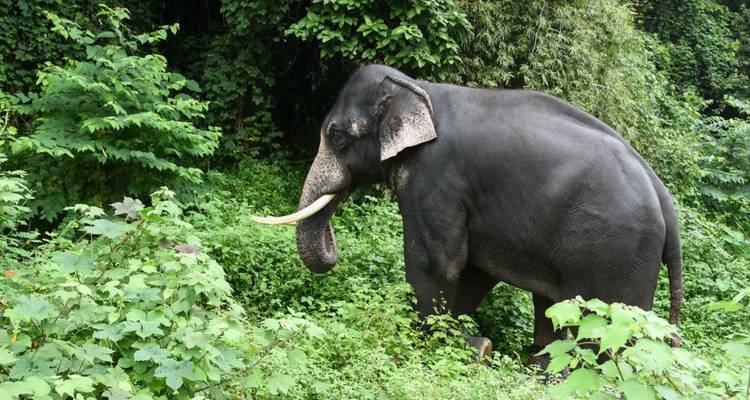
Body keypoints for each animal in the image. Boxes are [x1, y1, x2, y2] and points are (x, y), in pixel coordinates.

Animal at [253, 64, 683, 365]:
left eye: (337, 134)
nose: (334, 248)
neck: (418, 88)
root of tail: (665, 200)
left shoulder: (435, 177)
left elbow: (435, 262)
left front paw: (448, 344)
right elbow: (473, 269)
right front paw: (473, 345)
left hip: (614, 252)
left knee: (599, 328)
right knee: (551, 305)